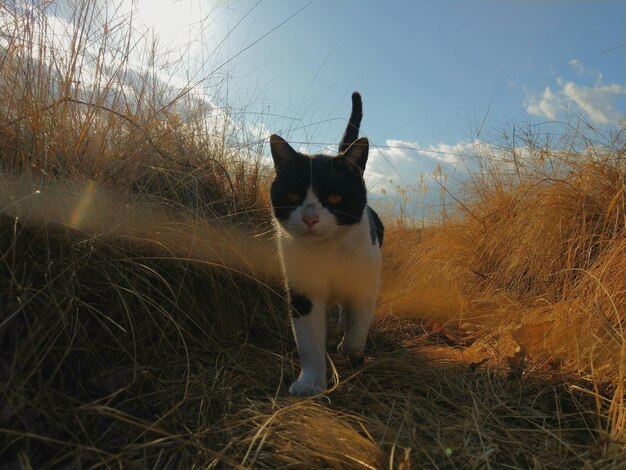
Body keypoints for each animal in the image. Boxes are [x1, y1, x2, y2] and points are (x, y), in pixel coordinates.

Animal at [266, 92, 382, 396]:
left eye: (335, 198)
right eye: (293, 195)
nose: (310, 218)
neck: (329, 250)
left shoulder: (365, 285)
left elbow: (357, 330)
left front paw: (348, 348)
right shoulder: (304, 291)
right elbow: (309, 342)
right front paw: (310, 383)